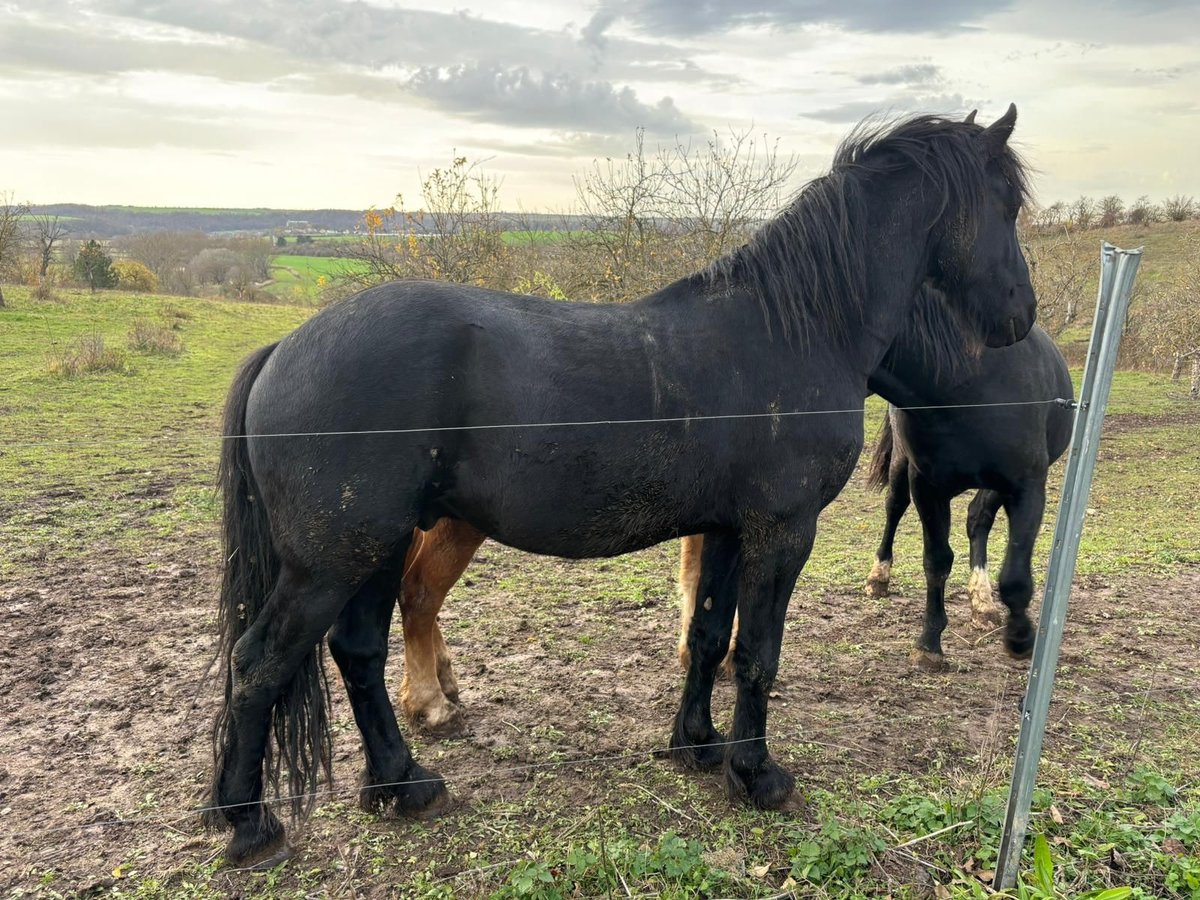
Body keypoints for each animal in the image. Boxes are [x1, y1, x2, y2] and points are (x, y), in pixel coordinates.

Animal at [204, 107, 1032, 868]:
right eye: (1008, 205)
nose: (1021, 317)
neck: (794, 329)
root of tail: (286, 348)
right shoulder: (783, 530)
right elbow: (758, 651)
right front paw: (756, 773)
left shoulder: (727, 529)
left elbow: (709, 634)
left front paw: (697, 745)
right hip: (332, 561)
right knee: (260, 662)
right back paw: (250, 824)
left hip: (369, 552)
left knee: (357, 652)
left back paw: (403, 784)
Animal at [864, 321, 1070, 672]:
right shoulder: (926, 486)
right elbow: (937, 560)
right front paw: (929, 644)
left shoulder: (1025, 487)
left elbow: (1015, 574)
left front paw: (1020, 637)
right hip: (902, 463)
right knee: (895, 506)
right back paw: (879, 576)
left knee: (977, 518)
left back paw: (982, 602)